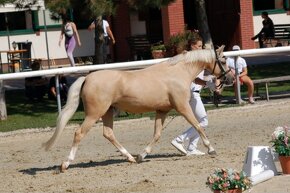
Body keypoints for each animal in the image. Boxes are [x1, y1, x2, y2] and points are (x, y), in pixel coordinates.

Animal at [43, 45, 233, 172]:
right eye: (223, 60)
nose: (230, 78)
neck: (178, 72)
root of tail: (87, 78)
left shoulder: (162, 111)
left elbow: (157, 135)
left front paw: (142, 155)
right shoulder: (182, 107)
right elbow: (198, 126)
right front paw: (211, 149)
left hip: (107, 112)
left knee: (108, 133)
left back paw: (130, 158)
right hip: (94, 114)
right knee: (79, 133)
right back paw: (66, 164)